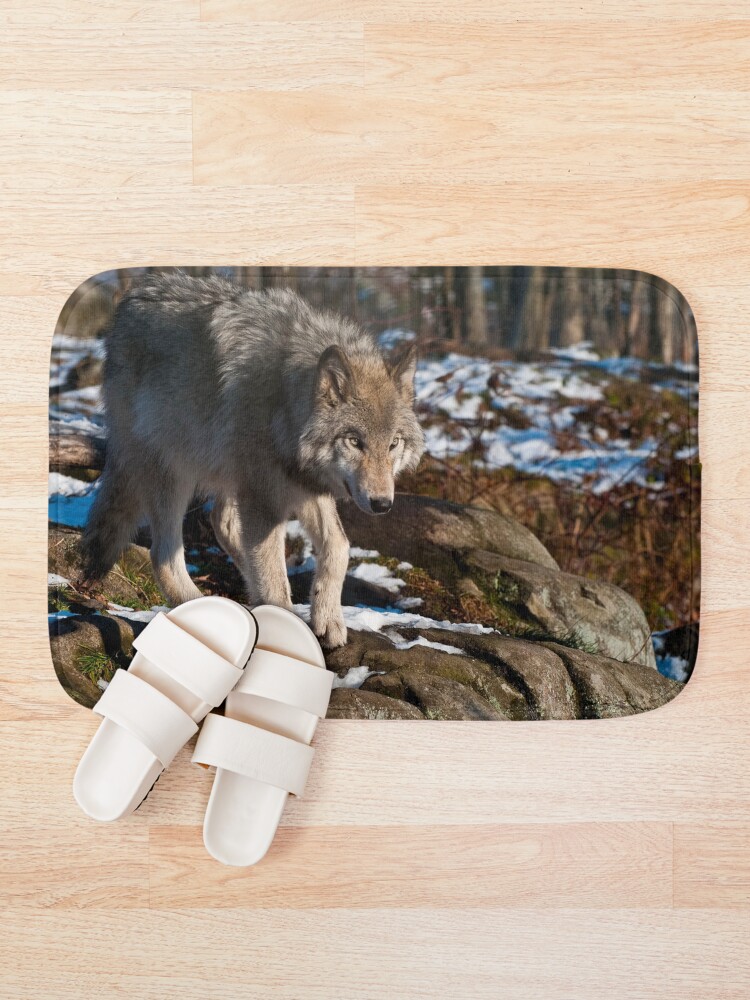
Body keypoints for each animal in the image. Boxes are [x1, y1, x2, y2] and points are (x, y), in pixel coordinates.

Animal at [81, 271, 425, 648]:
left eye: (393, 444)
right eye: (354, 441)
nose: (382, 504)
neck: (283, 403)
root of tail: (132, 298)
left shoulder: (303, 484)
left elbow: (338, 547)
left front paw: (328, 619)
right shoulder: (265, 498)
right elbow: (274, 580)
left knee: (223, 523)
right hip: (173, 470)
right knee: (164, 557)